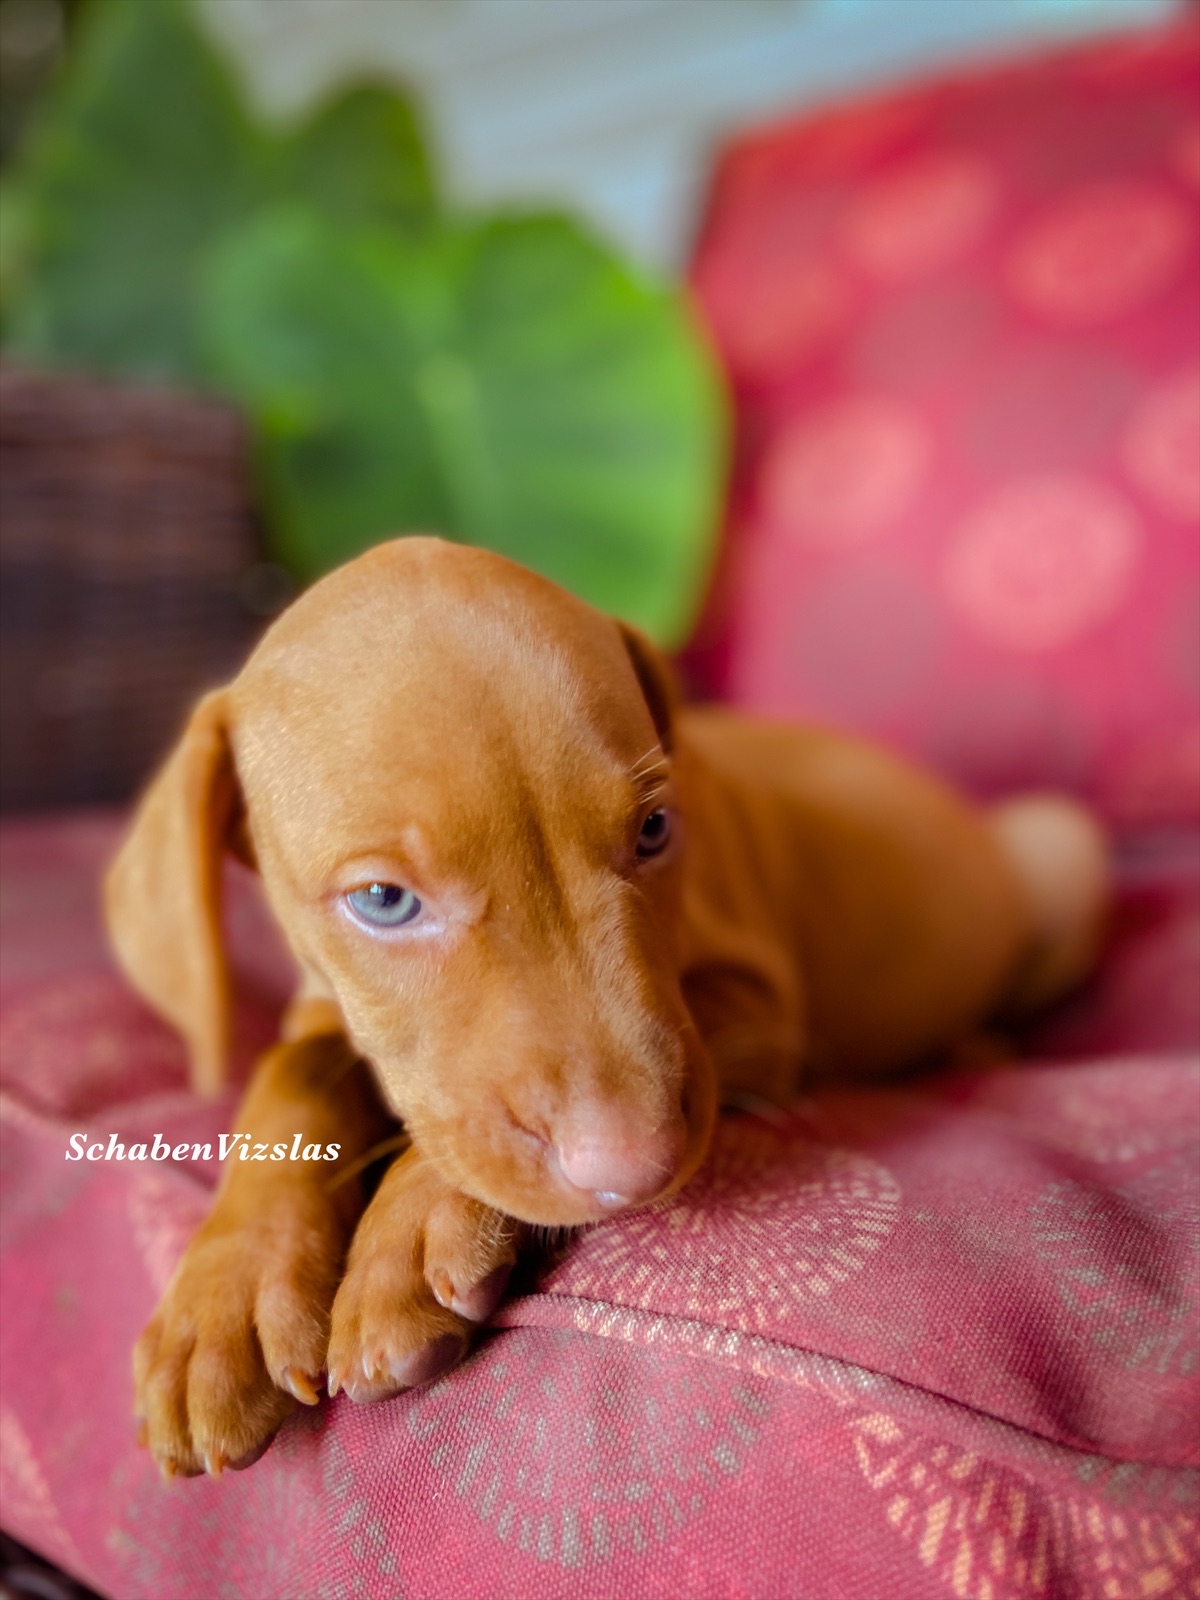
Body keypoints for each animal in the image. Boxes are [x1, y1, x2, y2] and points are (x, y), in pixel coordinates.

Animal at [108, 537, 1113, 1472]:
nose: (637, 1171)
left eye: (656, 828)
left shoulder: (758, 1008)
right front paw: (224, 1296)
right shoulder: (324, 1007)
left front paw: (411, 1228)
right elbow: (295, 1071)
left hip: (1063, 847)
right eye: (383, 901)